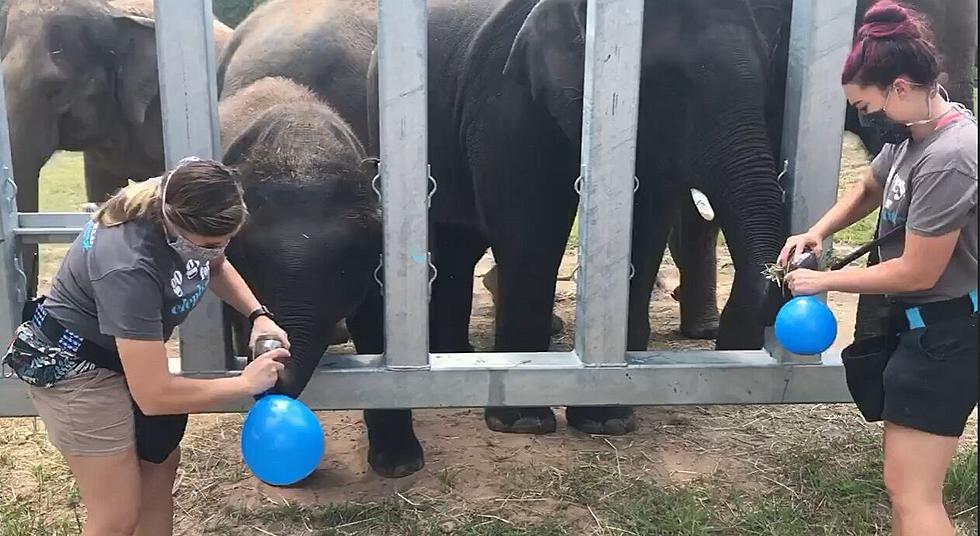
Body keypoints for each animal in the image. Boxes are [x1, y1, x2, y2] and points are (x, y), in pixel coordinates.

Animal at [368, 0, 788, 436]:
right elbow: (532, 229)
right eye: (671, 82)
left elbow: (644, 228)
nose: (783, 276)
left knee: (460, 244)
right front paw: (524, 422)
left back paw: (456, 355)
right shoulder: (506, 104)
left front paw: (608, 420)